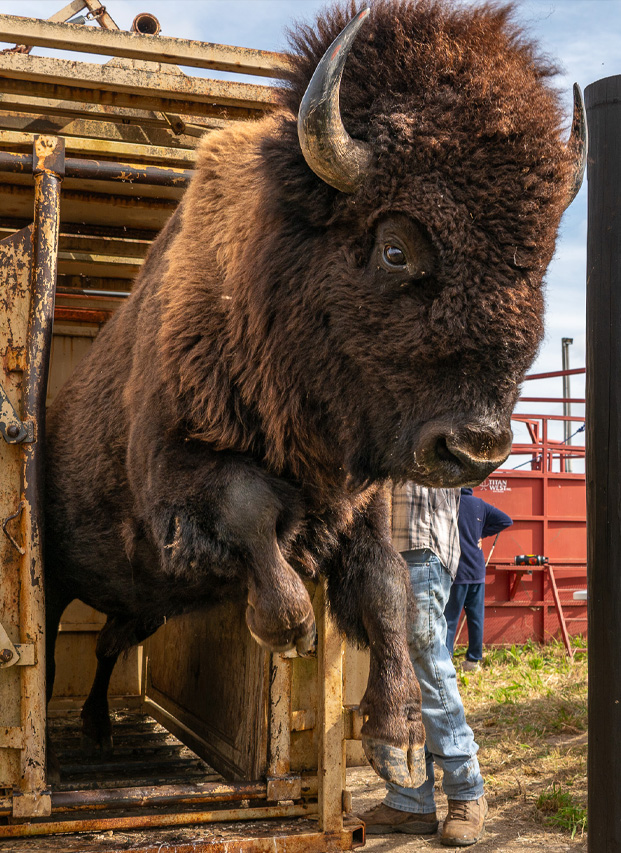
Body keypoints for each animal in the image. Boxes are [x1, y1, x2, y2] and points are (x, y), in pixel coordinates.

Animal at [44, 0, 585, 789]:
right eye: (395, 247)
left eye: (535, 264)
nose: (476, 446)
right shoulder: (172, 470)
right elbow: (250, 505)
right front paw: (290, 625)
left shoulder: (356, 502)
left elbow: (386, 590)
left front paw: (399, 738)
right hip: (60, 568)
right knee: (59, 631)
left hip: (139, 601)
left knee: (114, 640)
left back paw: (97, 728)